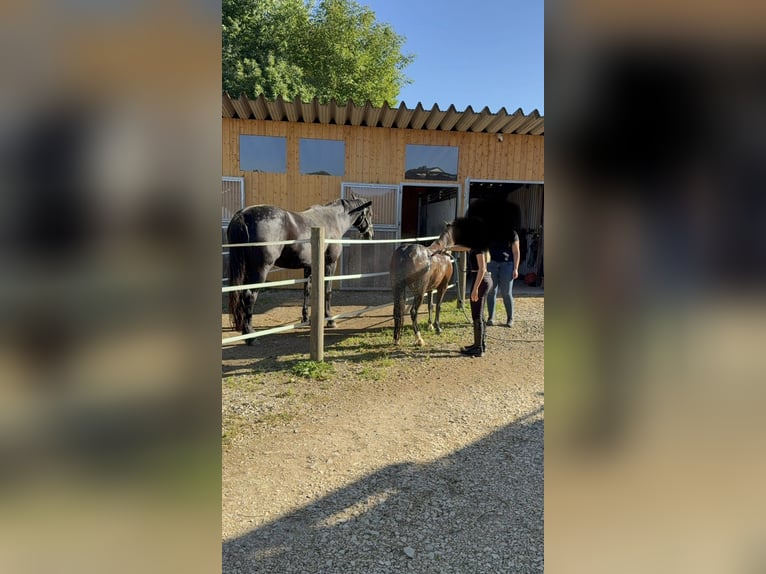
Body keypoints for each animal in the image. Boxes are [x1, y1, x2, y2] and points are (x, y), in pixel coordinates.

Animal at [227, 193, 373, 344]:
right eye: (369, 213)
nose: (370, 234)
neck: (332, 219)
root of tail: (243, 215)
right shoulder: (330, 264)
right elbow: (328, 291)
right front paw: (330, 320)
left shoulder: (309, 266)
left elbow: (306, 291)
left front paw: (306, 318)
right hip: (260, 270)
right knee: (249, 296)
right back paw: (250, 335)